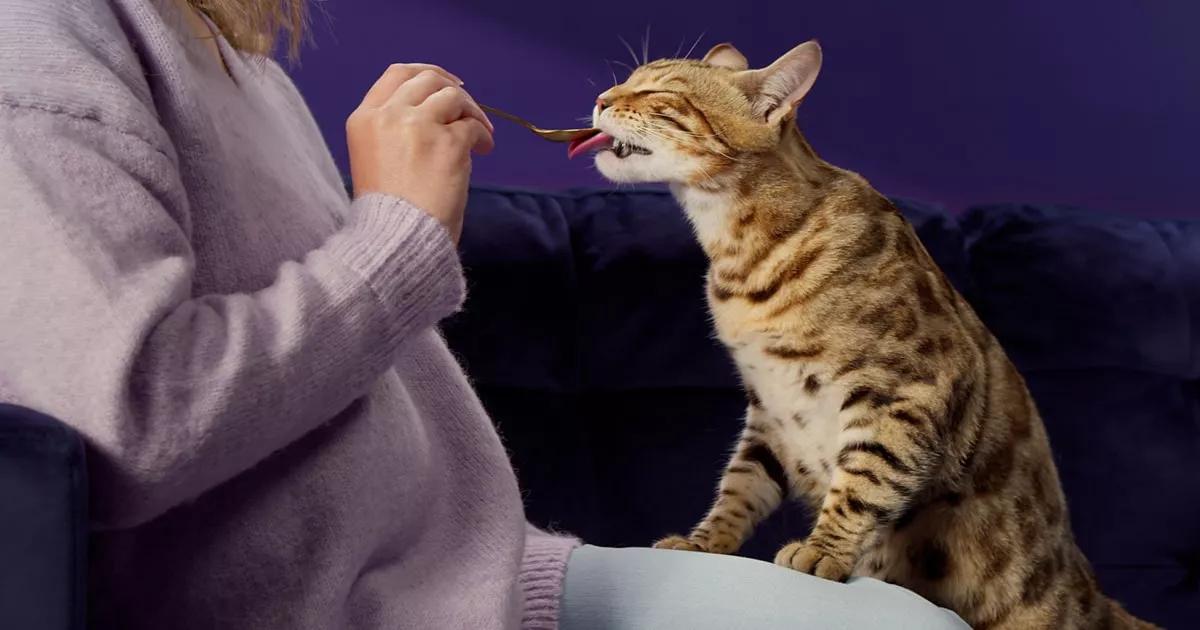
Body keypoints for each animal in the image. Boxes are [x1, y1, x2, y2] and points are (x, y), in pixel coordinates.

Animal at [573, 41, 1161, 624]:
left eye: (660, 92)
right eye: (626, 81)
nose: (600, 99)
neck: (739, 254)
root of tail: (1091, 595)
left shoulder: (906, 393)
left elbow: (864, 480)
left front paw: (823, 551)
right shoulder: (770, 409)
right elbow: (739, 484)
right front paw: (705, 543)